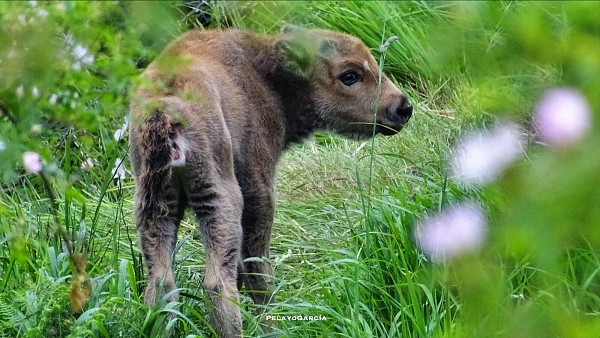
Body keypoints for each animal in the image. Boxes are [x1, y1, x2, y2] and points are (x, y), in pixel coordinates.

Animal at [129, 25, 412, 336]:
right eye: (349, 75)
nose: (402, 108)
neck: (267, 78)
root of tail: (163, 109)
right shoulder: (259, 189)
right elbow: (255, 265)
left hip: (155, 205)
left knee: (161, 285)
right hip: (219, 196)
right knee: (217, 282)